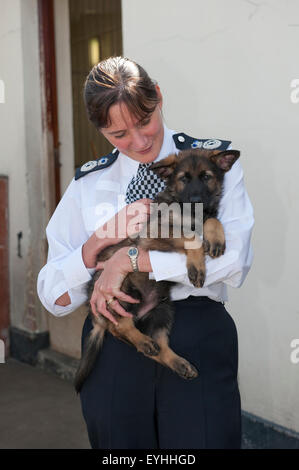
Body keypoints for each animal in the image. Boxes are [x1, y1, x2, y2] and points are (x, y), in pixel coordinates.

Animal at [74, 149, 240, 392]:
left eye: (206, 177)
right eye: (183, 178)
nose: (196, 201)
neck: (190, 212)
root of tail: (97, 318)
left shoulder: (207, 215)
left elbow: (213, 220)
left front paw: (216, 238)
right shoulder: (155, 232)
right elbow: (191, 236)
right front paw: (197, 266)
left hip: (163, 310)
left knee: (157, 347)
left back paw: (176, 361)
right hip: (122, 291)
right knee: (119, 326)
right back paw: (142, 340)